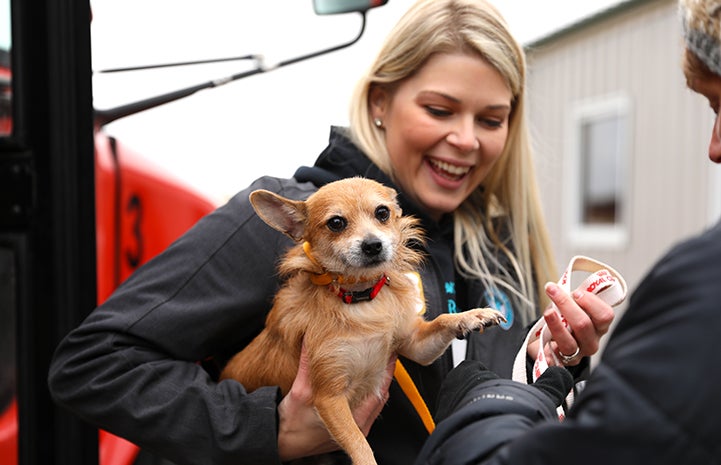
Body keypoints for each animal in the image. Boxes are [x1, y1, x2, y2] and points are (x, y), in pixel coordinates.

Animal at [219, 178, 500, 464]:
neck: (360, 299)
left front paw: (472, 315)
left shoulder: (415, 346)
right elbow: (360, 445)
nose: (373, 245)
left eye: (382, 213)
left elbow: (442, 321)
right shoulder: (329, 397)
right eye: (336, 223)